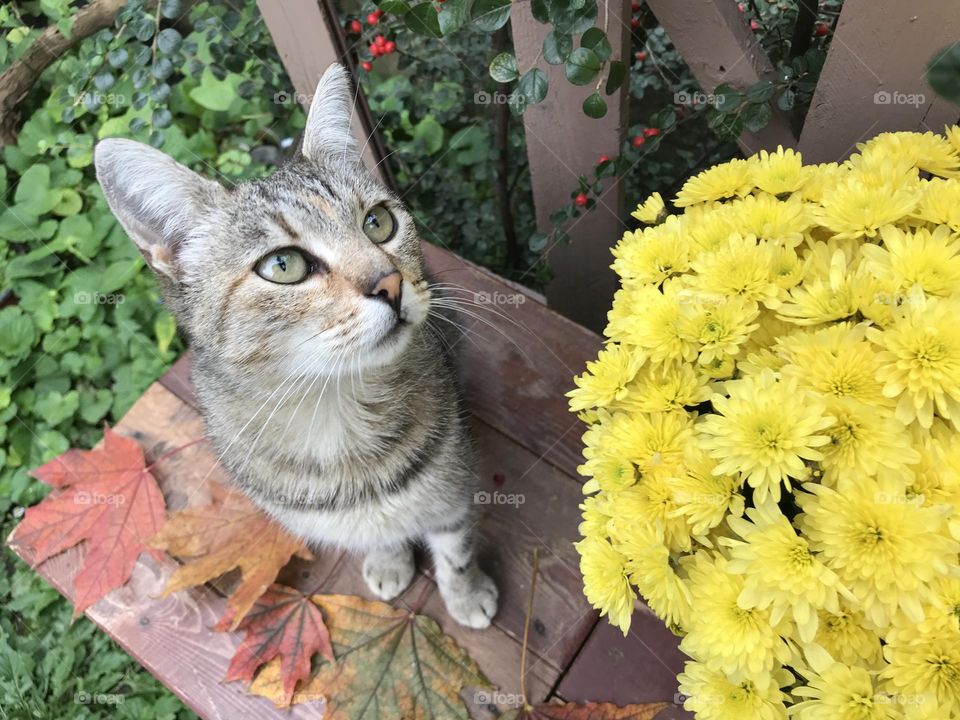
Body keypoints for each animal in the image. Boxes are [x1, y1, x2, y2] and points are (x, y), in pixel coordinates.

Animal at [94, 62, 498, 628]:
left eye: (379, 222)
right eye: (283, 265)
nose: (391, 284)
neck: (335, 412)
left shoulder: (454, 488)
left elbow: (456, 550)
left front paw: (466, 593)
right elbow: (376, 535)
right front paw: (388, 559)